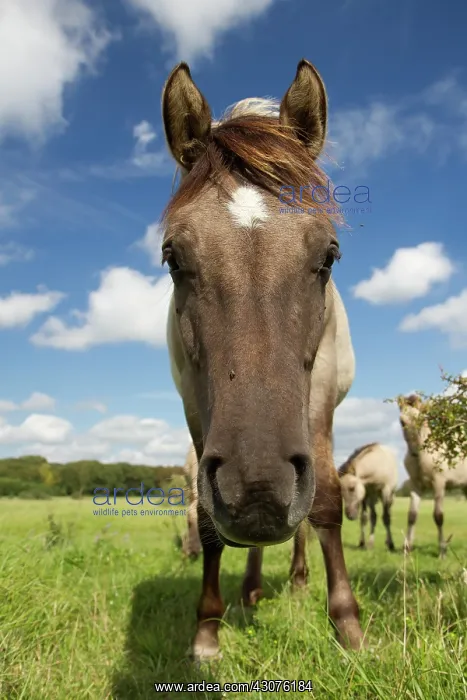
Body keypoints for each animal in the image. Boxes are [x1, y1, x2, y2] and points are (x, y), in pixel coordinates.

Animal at [161, 58, 365, 660]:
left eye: (329, 255)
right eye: (172, 257)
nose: (257, 489)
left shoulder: (318, 402)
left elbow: (326, 506)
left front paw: (347, 623)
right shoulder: (196, 408)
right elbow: (208, 521)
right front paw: (207, 629)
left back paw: (297, 581)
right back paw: (251, 588)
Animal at [398, 394, 467, 557]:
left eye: (422, 419)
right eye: (401, 421)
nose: (415, 452)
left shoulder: (439, 484)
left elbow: (438, 516)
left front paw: (442, 551)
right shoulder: (415, 485)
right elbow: (412, 516)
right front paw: (407, 549)